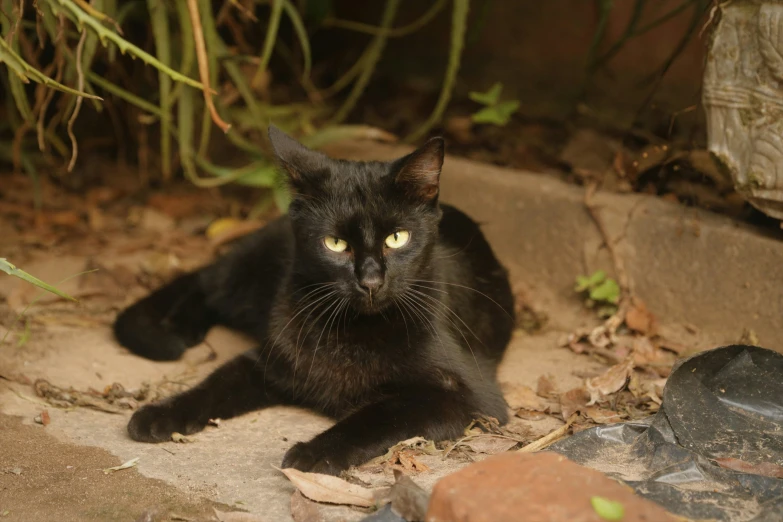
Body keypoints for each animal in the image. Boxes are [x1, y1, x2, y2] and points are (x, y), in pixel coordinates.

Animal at [112, 125, 516, 472]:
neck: (354, 331)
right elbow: (214, 385)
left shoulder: (469, 398)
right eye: (335, 243)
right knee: (205, 282)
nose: (371, 280)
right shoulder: (270, 359)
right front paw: (160, 413)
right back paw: (180, 328)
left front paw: (315, 452)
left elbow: (380, 415)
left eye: (397, 238)